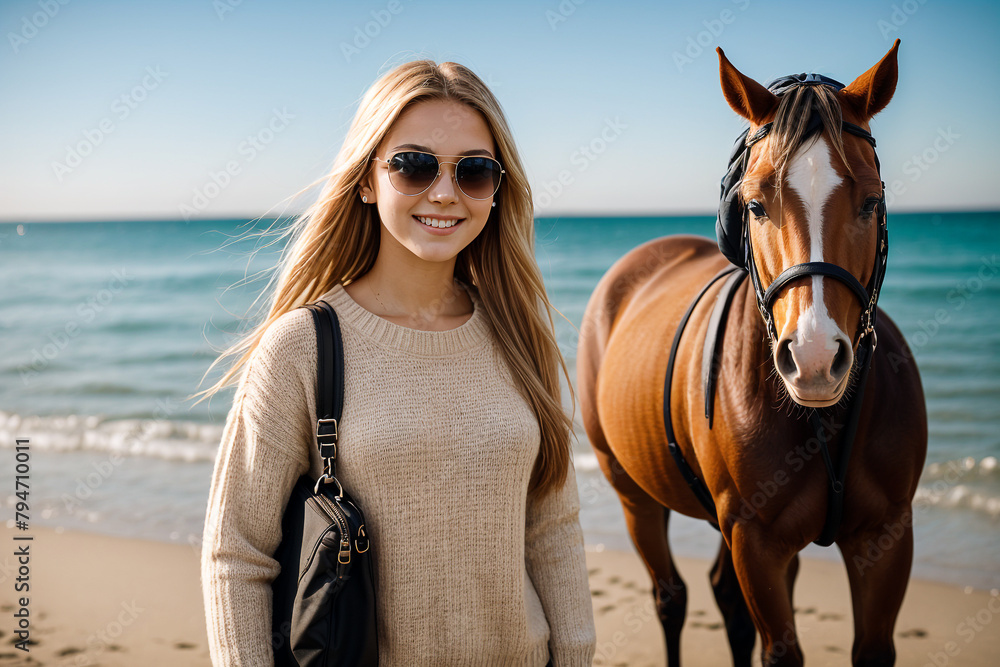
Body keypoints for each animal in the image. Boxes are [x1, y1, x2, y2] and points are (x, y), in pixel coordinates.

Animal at [577, 40, 927, 666]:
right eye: (757, 204)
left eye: (872, 201)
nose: (814, 358)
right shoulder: (756, 542)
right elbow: (779, 650)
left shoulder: (886, 537)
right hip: (632, 493)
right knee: (671, 596)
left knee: (723, 598)